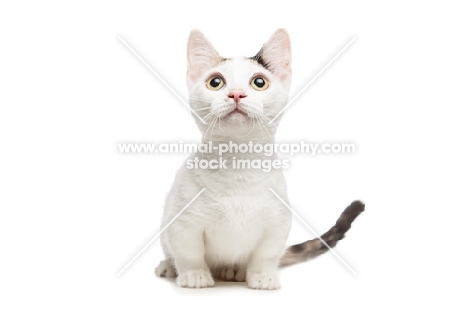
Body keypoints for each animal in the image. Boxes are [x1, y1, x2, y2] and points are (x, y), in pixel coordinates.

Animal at [155, 28, 364, 290]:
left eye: (259, 82)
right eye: (215, 82)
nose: (236, 94)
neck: (238, 162)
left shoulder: (277, 223)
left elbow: (266, 254)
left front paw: (263, 275)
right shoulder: (182, 222)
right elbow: (188, 253)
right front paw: (195, 275)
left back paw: (233, 270)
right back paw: (169, 266)